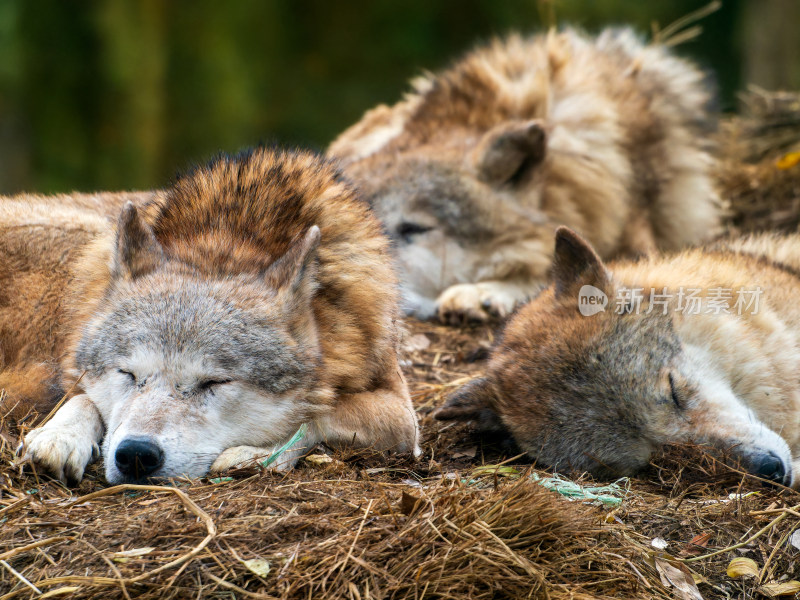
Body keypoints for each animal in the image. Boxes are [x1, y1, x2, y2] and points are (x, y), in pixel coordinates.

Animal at [9, 148, 418, 486]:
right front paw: (59, 436)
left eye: (214, 382)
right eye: (128, 374)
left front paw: (256, 454)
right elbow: (83, 397)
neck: (232, 237)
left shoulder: (402, 414)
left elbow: (314, 414)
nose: (136, 454)